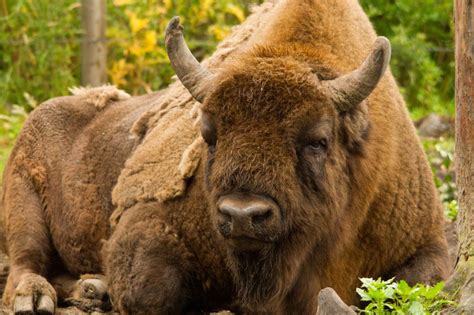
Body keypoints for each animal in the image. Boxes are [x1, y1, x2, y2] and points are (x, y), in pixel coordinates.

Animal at [1, 1, 450, 314]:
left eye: (318, 141)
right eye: (209, 135)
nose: (242, 215)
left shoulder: (427, 243)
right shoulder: (146, 228)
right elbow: (151, 291)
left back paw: (92, 289)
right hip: (22, 201)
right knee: (25, 262)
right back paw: (38, 296)